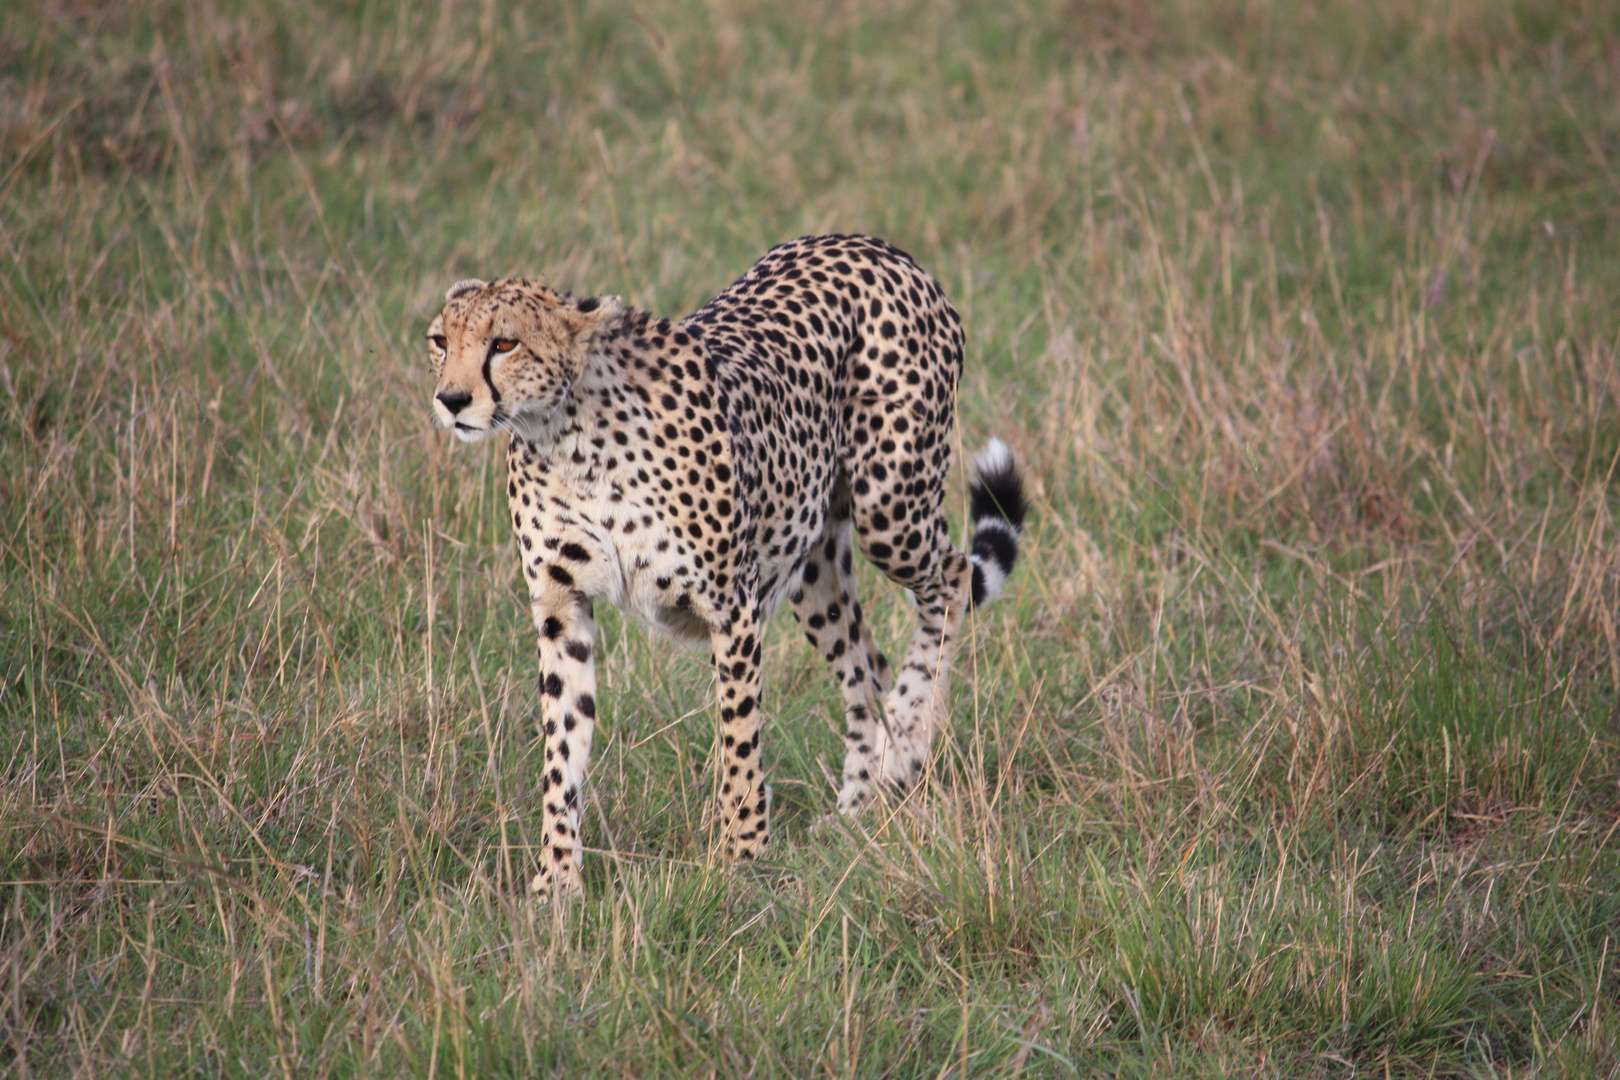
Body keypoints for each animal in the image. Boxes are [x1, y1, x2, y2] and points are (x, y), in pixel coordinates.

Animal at [427, 236, 1023, 906]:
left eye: (505, 343)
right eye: (440, 341)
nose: (451, 400)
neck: (565, 437)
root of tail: (876, 245)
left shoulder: (732, 607)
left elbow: (739, 737)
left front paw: (742, 857)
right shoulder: (563, 611)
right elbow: (563, 747)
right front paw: (556, 881)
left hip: (890, 507)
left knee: (948, 581)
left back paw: (911, 737)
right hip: (812, 559)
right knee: (866, 662)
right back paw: (858, 805)